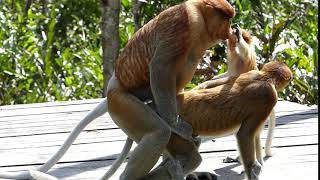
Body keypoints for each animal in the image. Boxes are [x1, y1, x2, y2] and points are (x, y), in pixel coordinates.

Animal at [0, 0, 235, 179]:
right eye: (226, 18)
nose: (231, 31)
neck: (200, 16)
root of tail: (114, 84)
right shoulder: (185, 23)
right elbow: (160, 69)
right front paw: (179, 126)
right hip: (122, 104)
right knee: (157, 132)